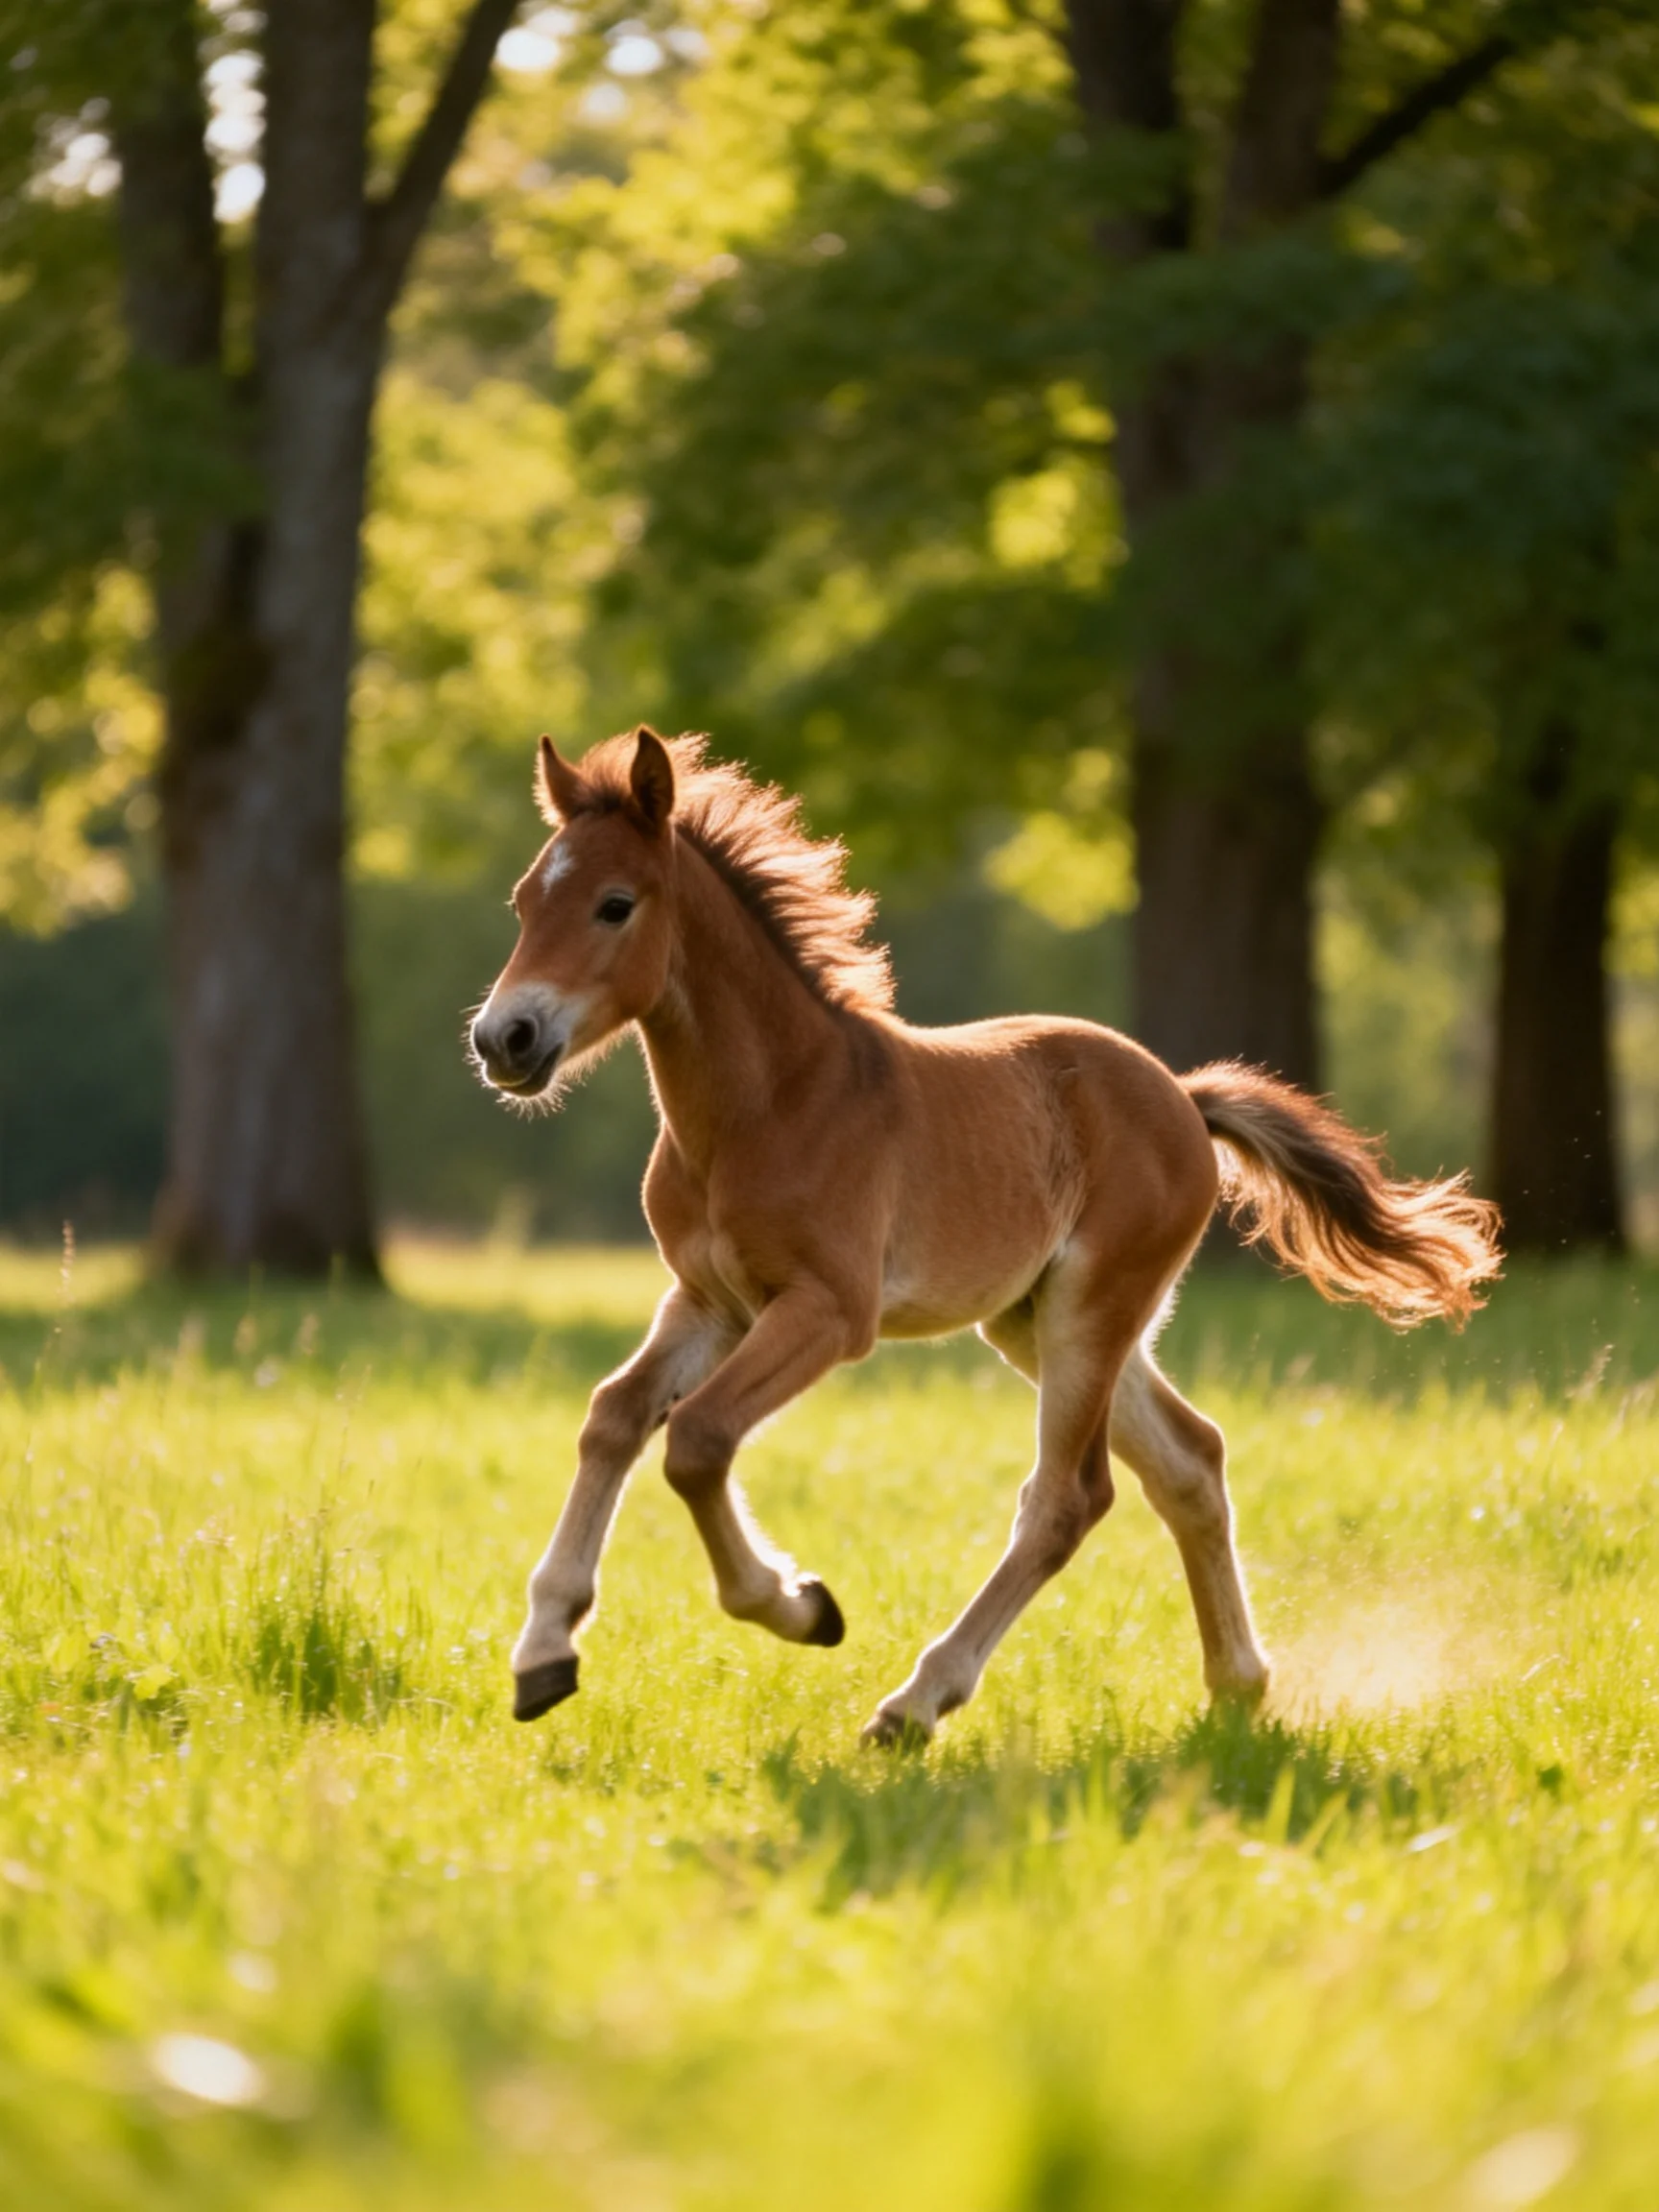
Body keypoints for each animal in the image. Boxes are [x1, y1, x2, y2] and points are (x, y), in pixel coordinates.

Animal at [470, 726, 1501, 1746]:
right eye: (522, 902)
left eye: (614, 905)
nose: (503, 1039)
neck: (768, 1106)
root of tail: (1184, 1095)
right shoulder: (708, 1301)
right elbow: (613, 1416)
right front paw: (544, 1652)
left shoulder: (827, 1311)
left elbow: (697, 1437)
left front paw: (799, 1605)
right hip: (1035, 1320)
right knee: (1191, 1461)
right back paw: (1237, 1685)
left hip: (1091, 1308)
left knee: (1069, 1499)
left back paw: (915, 1703)